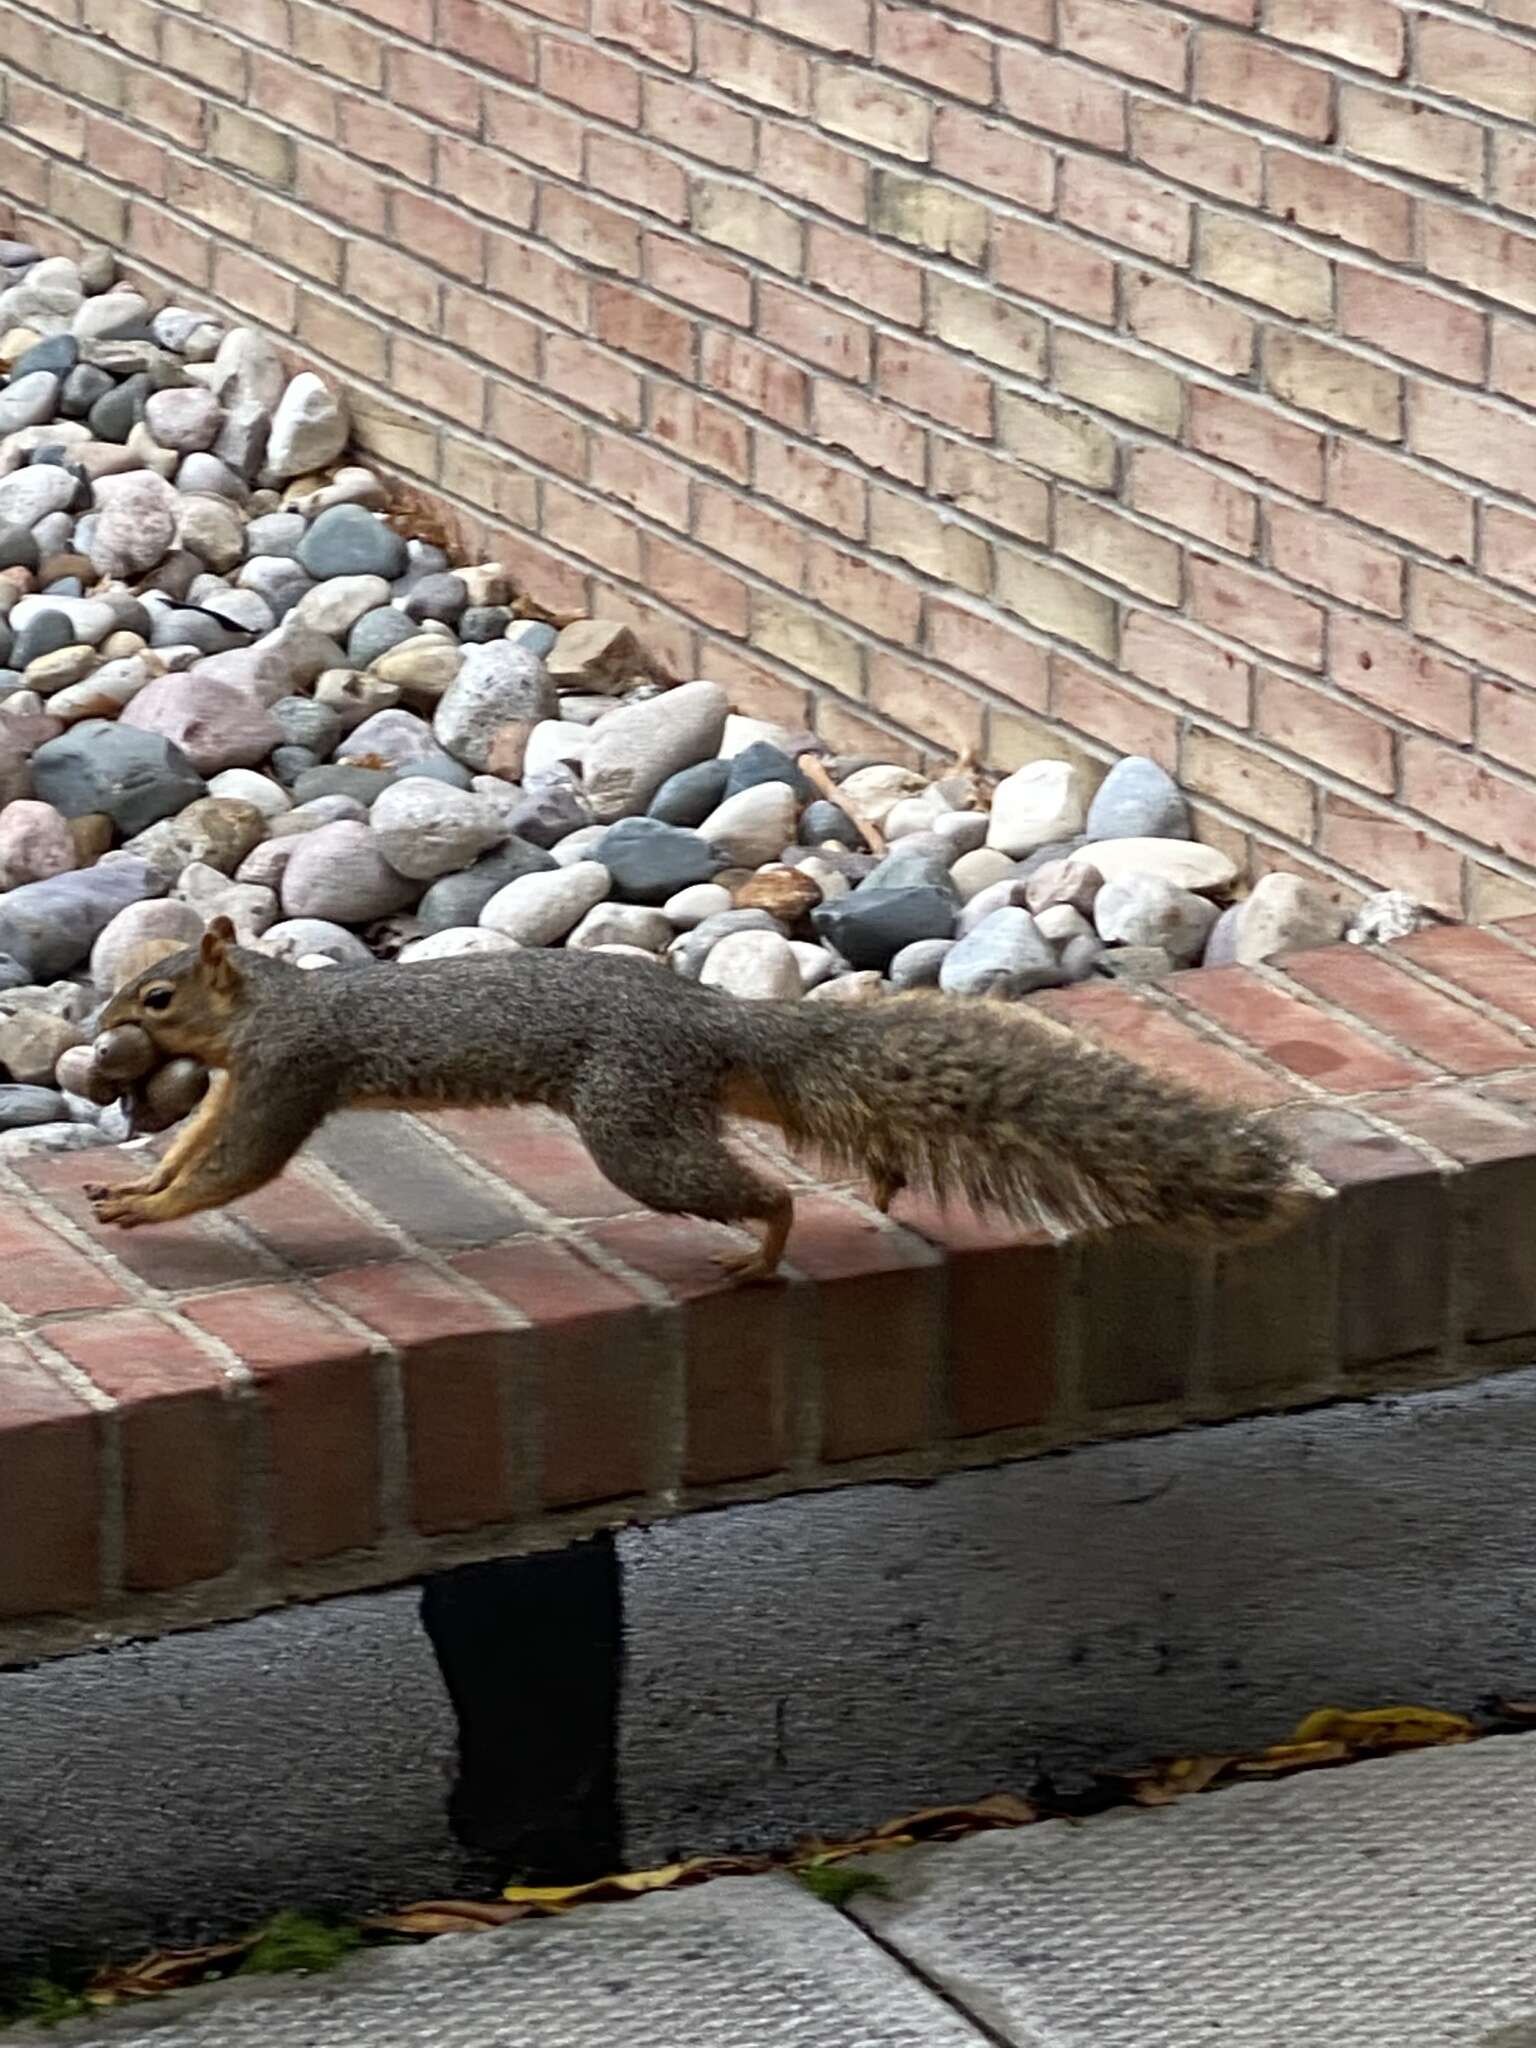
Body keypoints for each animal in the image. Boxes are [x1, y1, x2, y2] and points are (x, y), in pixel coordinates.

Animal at [81, 917, 1310, 1277]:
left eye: (156, 993)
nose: (97, 1030)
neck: (261, 1008)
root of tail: (715, 1020)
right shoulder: (244, 1079)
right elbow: (199, 1143)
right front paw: (137, 1182)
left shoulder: (289, 1068)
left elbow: (236, 1165)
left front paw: (150, 1208)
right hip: (694, 1099)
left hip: (632, 1124)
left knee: (759, 1191)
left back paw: (763, 1248)